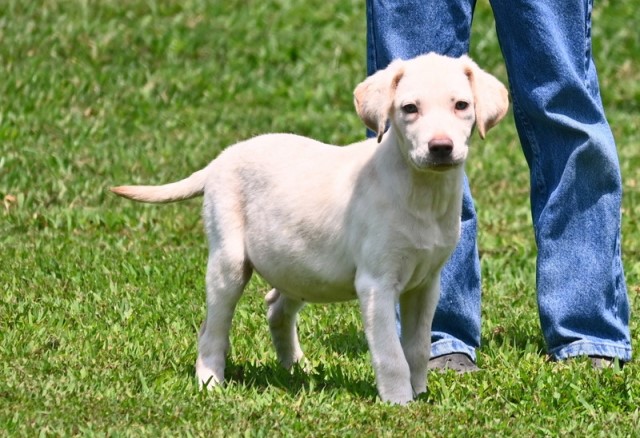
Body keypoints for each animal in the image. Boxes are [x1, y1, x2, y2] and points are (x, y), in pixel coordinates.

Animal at [111, 52, 510, 404]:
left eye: (461, 105)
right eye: (410, 109)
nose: (441, 147)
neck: (422, 191)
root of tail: (220, 159)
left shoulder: (426, 284)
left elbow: (415, 348)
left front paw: (421, 394)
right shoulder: (376, 284)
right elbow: (390, 354)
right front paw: (399, 404)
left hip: (298, 263)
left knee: (275, 306)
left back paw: (296, 368)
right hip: (228, 263)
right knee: (212, 330)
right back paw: (210, 381)